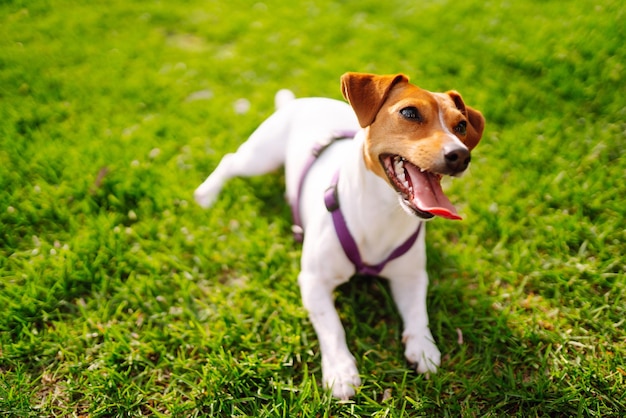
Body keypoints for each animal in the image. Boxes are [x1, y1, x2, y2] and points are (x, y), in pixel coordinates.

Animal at [193, 72, 486, 398]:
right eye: (409, 113)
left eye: (461, 126)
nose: (460, 155)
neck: (382, 213)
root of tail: (301, 101)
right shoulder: (313, 281)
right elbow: (332, 326)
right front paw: (340, 370)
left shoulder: (410, 277)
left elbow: (417, 314)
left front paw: (423, 348)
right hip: (259, 158)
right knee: (231, 160)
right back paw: (207, 194)